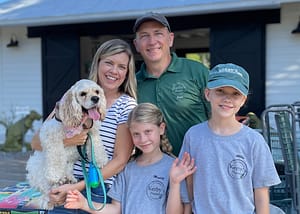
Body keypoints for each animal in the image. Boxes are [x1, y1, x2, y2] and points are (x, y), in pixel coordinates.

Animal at [25, 79, 108, 210]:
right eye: (83, 94)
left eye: (97, 91)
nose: (96, 98)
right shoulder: (50, 136)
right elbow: (56, 157)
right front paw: (55, 175)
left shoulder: (92, 133)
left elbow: (97, 145)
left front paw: (100, 160)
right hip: (35, 165)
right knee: (46, 189)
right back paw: (52, 193)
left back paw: (68, 179)